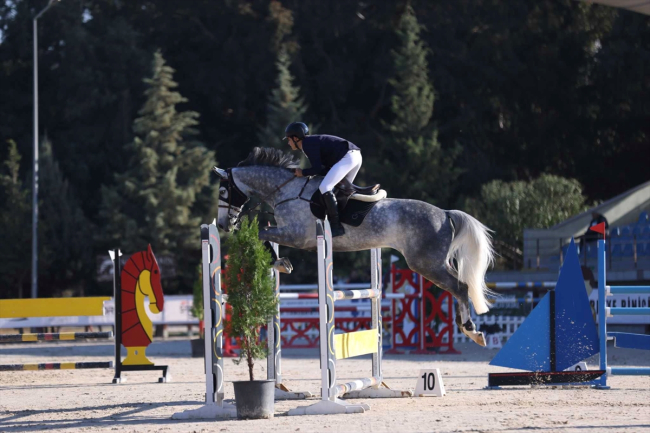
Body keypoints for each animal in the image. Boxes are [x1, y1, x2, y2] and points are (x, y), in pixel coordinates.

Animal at [215, 147, 494, 346]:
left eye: (223, 192)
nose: (222, 225)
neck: (285, 190)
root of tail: (445, 213)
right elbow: (264, 234)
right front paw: (280, 262)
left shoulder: (296, 235)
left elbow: (261, 233)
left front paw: (281, 263)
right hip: (436, 262)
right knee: (459, 285)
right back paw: (468, 328)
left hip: (425, 264)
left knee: (460, 287)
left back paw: (472, 331)